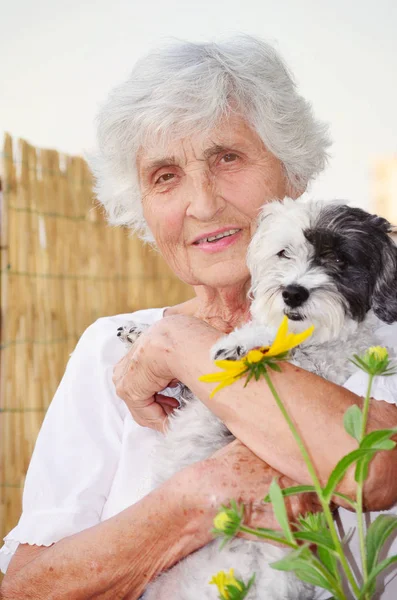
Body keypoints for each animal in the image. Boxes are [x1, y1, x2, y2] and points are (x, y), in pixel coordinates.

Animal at [119, 199, 396, 596]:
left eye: (339, 260)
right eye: (284, 253)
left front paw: (241, 341)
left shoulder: (325, 367)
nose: (293, 292)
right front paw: (140, 331)